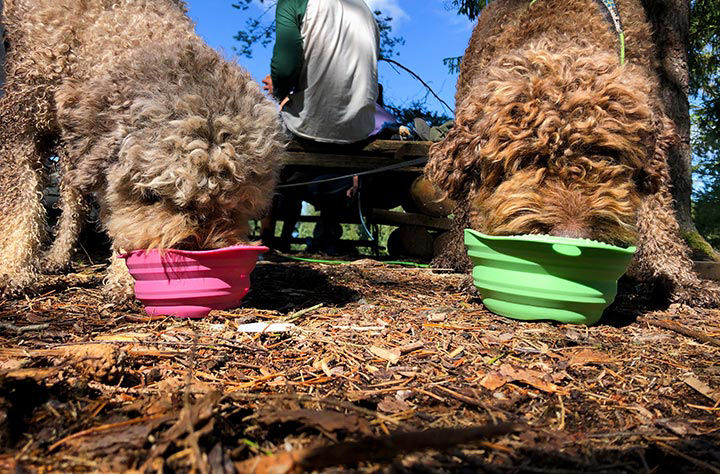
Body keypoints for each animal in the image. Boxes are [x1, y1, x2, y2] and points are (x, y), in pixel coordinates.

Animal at [0, 0, 286, 300]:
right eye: (151, 196)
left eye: (235, 204)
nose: (198, 252)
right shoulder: (22, 121)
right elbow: (20, 204)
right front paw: (12, 269)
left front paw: (125, 278)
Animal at [428, 0, 720, 308]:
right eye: (526, 160)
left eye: (607, 154)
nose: (571, 237)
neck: (562, 30)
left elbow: (659, 214)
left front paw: (679, 278)